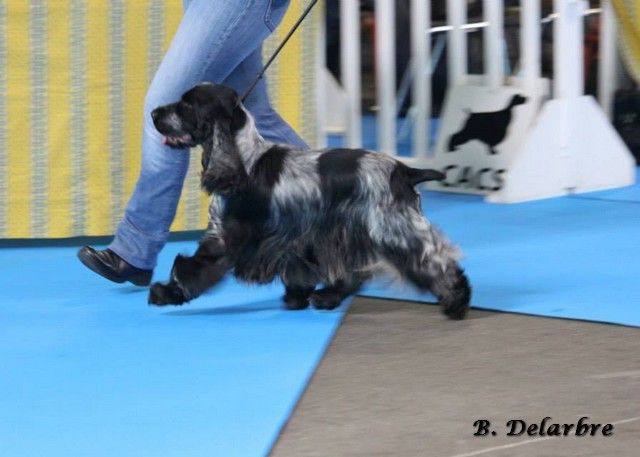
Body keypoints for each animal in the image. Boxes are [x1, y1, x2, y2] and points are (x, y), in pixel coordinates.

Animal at [147, 83, 471, 319]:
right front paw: (296, 298)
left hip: (392, 230)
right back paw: (326, 298)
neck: (242, 159)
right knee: (356, 274)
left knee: (436, 263)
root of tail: (403, 171)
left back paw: (457, 304)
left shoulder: (228, 237)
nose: (153, 113)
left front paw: (165, 293)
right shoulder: (300, 240)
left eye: (187, 105)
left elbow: (194, 267)